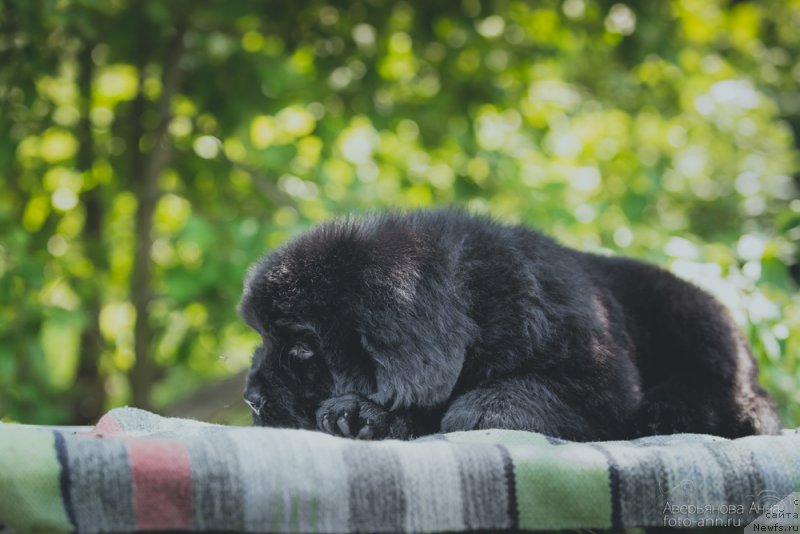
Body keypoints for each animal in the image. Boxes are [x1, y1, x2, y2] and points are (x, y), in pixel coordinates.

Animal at [239, 211, 780, 442]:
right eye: (263, 339)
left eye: (302, 349)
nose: (251, 399)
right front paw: (366, 416)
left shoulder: (604, 382)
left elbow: (505, 396)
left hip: (695, 318)